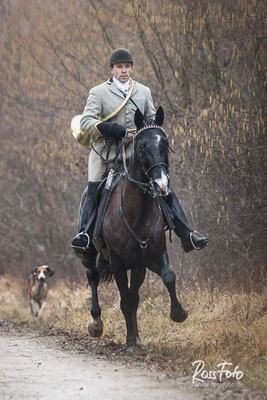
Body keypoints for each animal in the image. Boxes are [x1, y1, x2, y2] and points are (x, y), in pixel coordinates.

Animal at [88, 107, 188, 354]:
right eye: (141, 146)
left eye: (165, 143)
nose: (162, 185)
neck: (138, 211)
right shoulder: (117, 262)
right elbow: (125, 300)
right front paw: (130, 342)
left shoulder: (151, 256)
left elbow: (167, 277)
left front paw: (178, 313)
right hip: (91, 252)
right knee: (92, 275)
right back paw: (96, 322)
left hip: (137, 266)